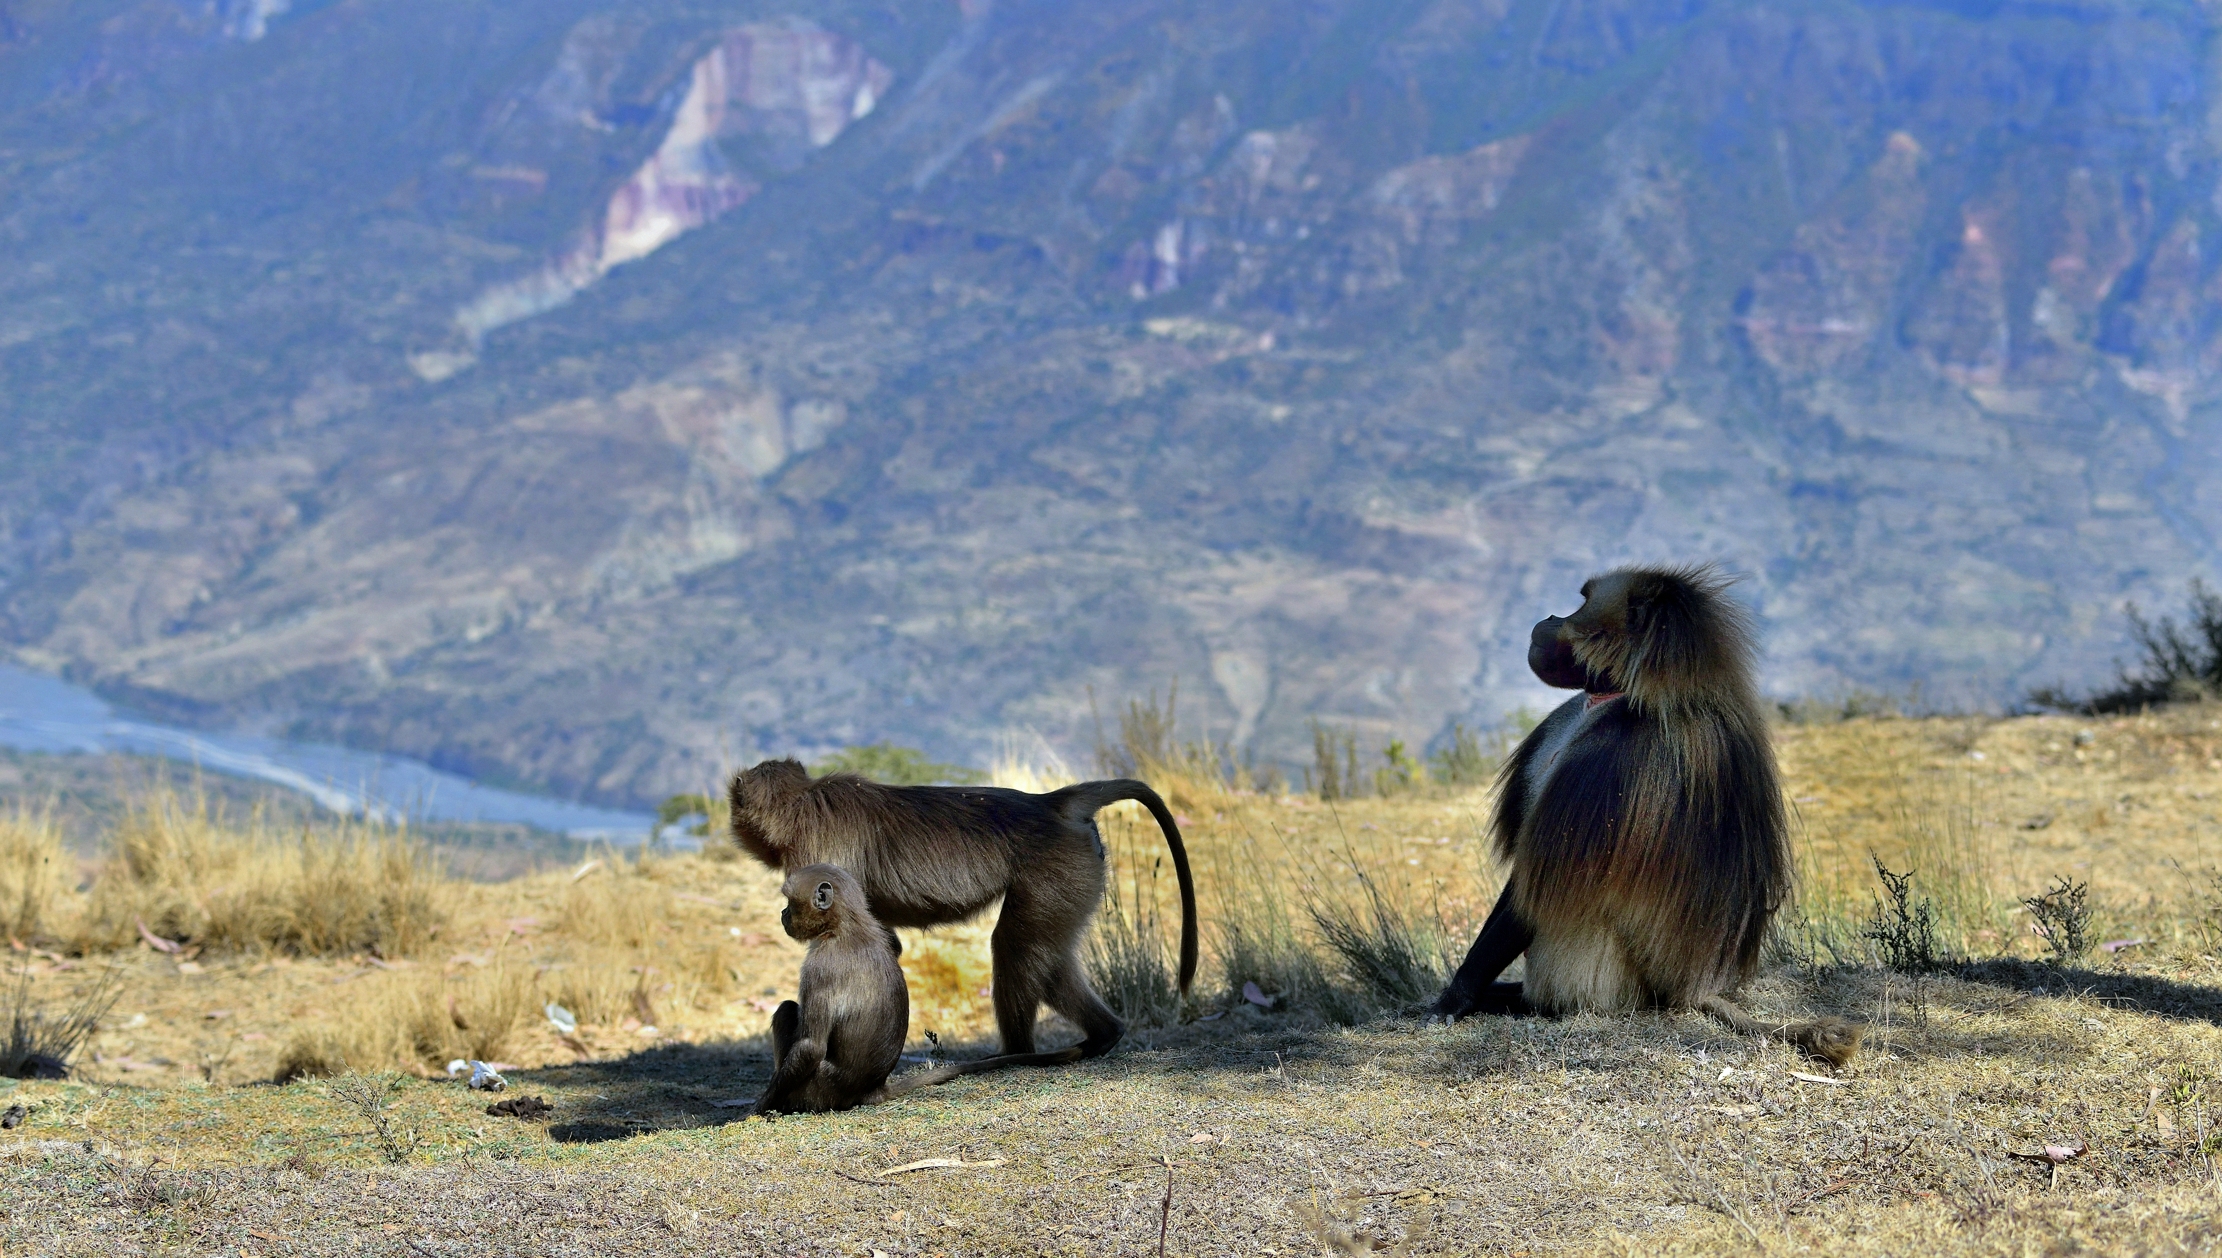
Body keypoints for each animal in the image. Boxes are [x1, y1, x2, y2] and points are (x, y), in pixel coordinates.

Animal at [730, 761, 1196, 1059]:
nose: (783, 917)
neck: (802, 801)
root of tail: (1050, 803)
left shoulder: (815, 851)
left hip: (1057, 868)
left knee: (1015, 948)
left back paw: (1016, 1055)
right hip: (1079, 869)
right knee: (1045, 958)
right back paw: (1103, 1036)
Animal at [752, 864, 1081, 1115]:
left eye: (790, 902)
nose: (783, 914)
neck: (847, 926)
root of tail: (872, 1089)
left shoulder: (818, 965)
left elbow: (811, 1047)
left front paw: (760, 1105)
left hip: (815, 1090)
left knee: (786, 1011)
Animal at [1427, 564, 1862, 1067]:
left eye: (1582, 602)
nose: (1549, 617)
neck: (1631, 691)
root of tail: (1692, 988)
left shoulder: (1613, 760)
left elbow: (1533, 891)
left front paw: (1454, 999)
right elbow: (1524, 882)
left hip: (1600, 979)